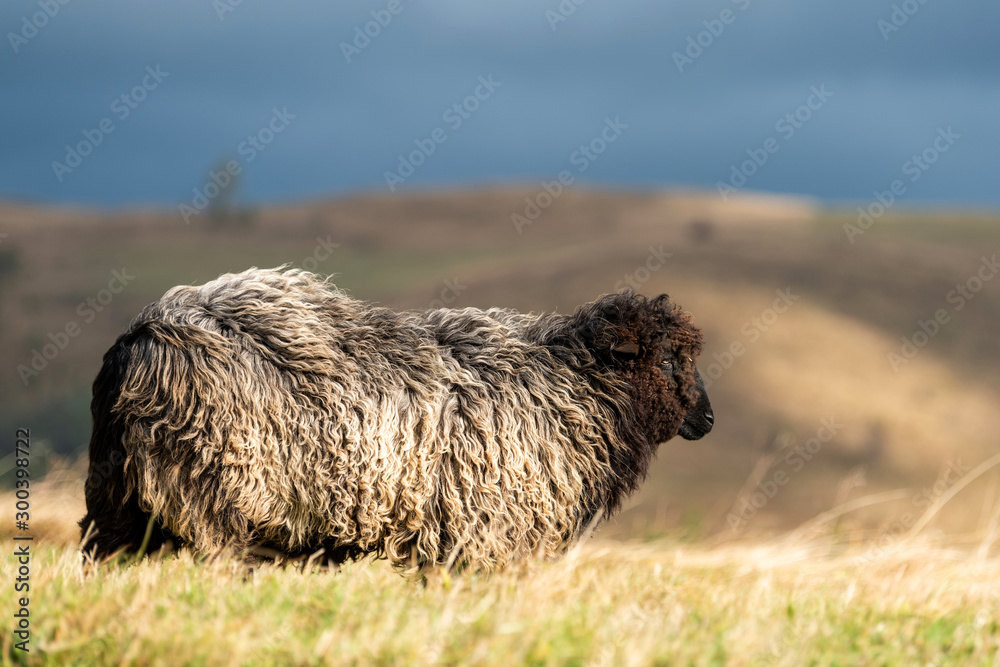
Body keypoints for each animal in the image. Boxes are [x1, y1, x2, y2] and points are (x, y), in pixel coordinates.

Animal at [80, 268, 712, 572]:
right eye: (668, 359)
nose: (708, 419)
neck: (573, 389)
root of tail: (144, 337)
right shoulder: (485, 531)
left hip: (119, 491)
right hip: (218, 491)